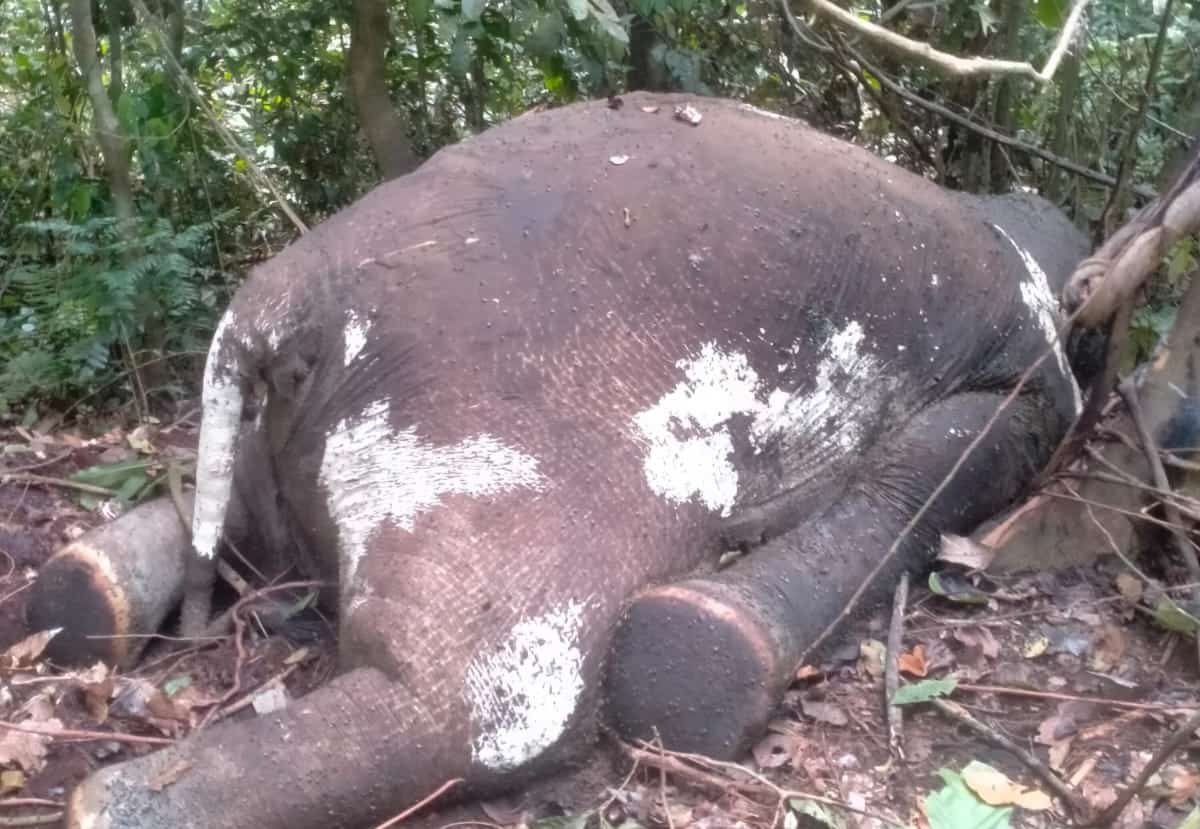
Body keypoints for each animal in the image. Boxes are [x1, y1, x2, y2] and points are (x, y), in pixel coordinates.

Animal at [44, 92, 1089, 829]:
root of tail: (278, 303)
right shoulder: (1035, 380)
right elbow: (954, 462)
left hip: (293, 455)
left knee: (228, 538)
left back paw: (84, 596)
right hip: (486, 460)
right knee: (474, 706)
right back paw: (120, 802)